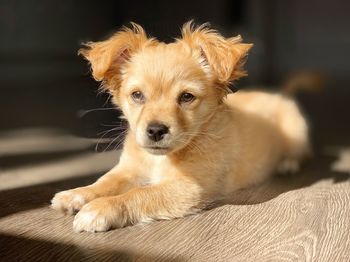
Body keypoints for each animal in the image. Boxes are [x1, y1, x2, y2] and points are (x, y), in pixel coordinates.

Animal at [50, 21, 308, 232]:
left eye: (186, 97)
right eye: (137, 95)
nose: (155, 130)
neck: (159, 159)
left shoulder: (191, 187)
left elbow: (141, 193)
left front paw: (101, 208)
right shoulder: (128, 169)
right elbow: (105, 181)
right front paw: (77, 194)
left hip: (297, 129)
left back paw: (287, 163)